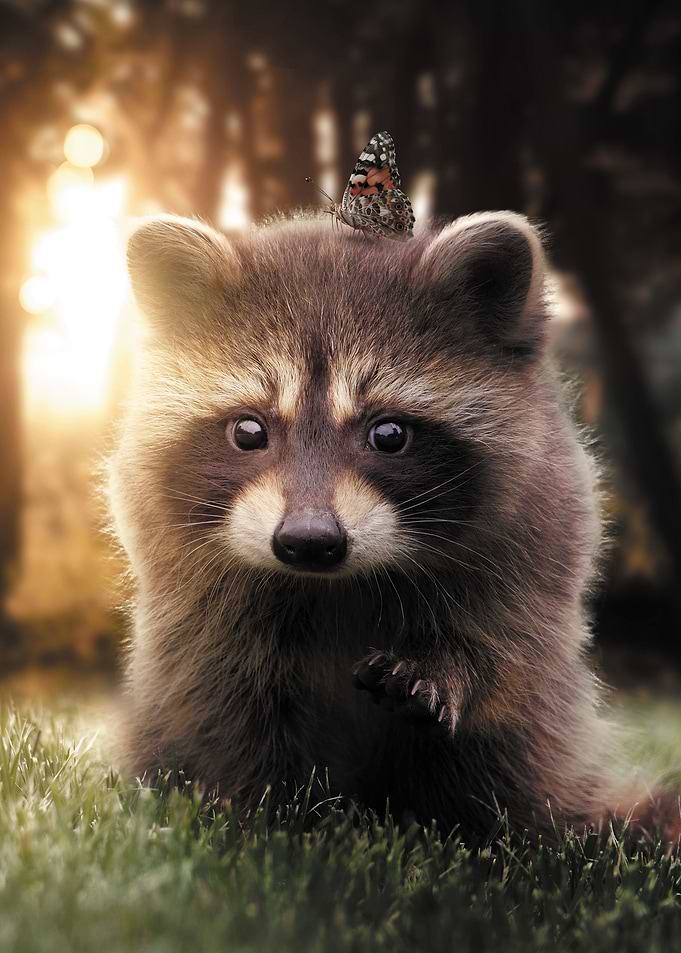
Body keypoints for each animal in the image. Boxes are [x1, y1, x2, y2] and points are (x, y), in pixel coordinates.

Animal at [110, 211, 659, 841]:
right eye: (249, 431)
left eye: (389, 434)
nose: (309, 542)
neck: (333, 587)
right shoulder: (192, 595)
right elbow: (220, 695)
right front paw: (261, 817)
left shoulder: (537, 528)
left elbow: (508, 643)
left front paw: (447, 669)